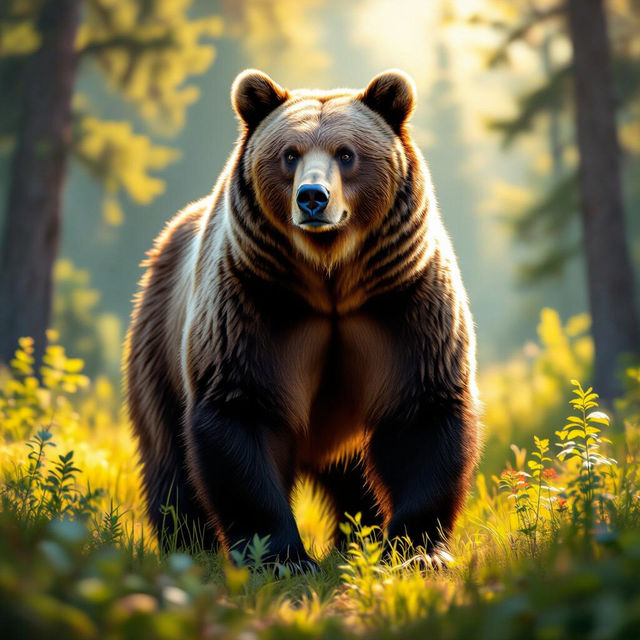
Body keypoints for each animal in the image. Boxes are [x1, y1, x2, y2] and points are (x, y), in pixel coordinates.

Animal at [125, 69, 481, 571]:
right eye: (289, 154)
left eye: (346, 153)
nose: (313, 198)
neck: (329, 280)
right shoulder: (255, 304)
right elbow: (243, 411)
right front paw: (281, 556)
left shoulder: (403, 303)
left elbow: (423, 413)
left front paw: (417, 550)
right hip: (157, 347)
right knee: (169, 459)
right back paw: (189, 545)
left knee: (354, 476)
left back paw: (358, 540)